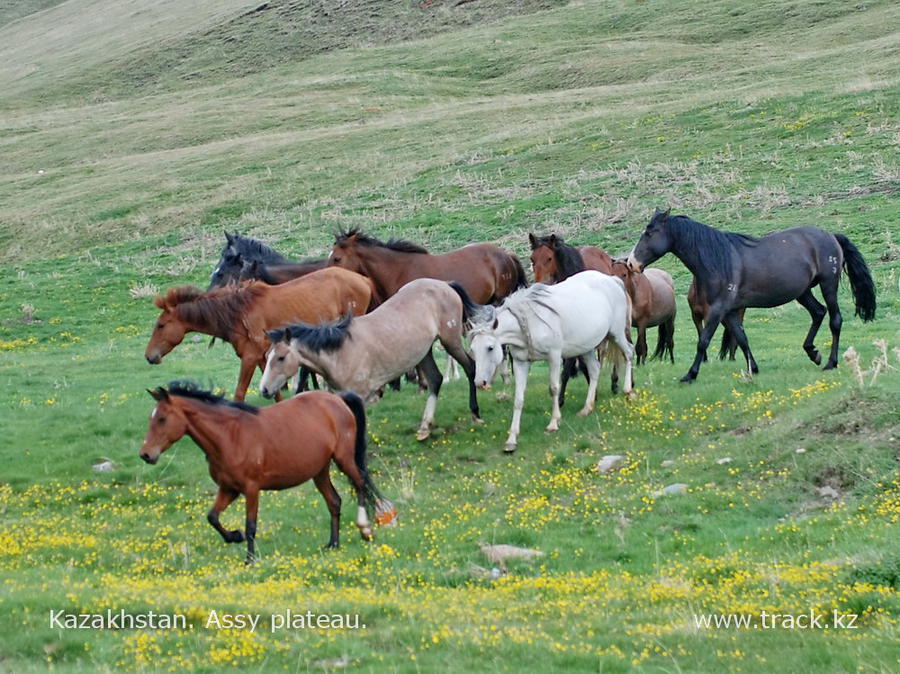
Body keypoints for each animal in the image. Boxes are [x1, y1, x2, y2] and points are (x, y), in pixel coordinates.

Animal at [141, 378, 390, 560]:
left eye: (162, 419)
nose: (146, 455)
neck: (230, 436)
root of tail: (337, 399)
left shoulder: (251, 489)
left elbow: (251, 525)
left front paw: (250, 559)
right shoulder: (229, 488)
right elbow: (212, 517)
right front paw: (235, 536)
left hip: (344, 459)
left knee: (360, 484)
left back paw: (365, 530)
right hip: (319, 470)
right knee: (334, 501)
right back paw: (333, 544)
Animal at [144, 266, 372, 400]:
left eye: (161, 325)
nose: (149, 356)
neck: (237, 313)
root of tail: (363, 279)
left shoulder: (250, 358)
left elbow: (239, 393)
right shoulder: (265, 358)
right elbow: (275, 391)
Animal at [262, 278, 486, 440]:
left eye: (280, 357)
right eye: (267, 356)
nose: (264, 389)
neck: (341, 351)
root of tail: (445, 284)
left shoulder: (360, 396)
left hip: (450, 341)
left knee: (470, 367)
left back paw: (475, 414)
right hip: (424, 351)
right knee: (435, 379)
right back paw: (425, 427)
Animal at [464, 268, 632, 452]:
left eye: (490, 348)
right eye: (472, 350)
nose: (480, 383)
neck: (529, 321)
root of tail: (612, 279)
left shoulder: (554, 356)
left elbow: (554, 388)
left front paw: (553, 423)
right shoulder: (521, 363)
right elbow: (518, 399)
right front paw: (512, 439)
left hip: (616, 333)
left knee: (629, 353)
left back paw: (628, 390)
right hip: (587, 347)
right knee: (595, 370)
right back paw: (587, 408)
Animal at [628, 207, 876, 380]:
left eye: (650, 233)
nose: (631, 263)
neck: (718, 260)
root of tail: (831, 236)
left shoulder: (717, 310)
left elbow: (703, 340)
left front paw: (691, 374)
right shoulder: (729, 312)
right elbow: (741, 338)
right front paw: (753, 368)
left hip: (828, 284)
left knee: (835, 320)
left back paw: (830, 362)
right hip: (803, 292)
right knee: (818, 313)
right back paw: (813, 352)